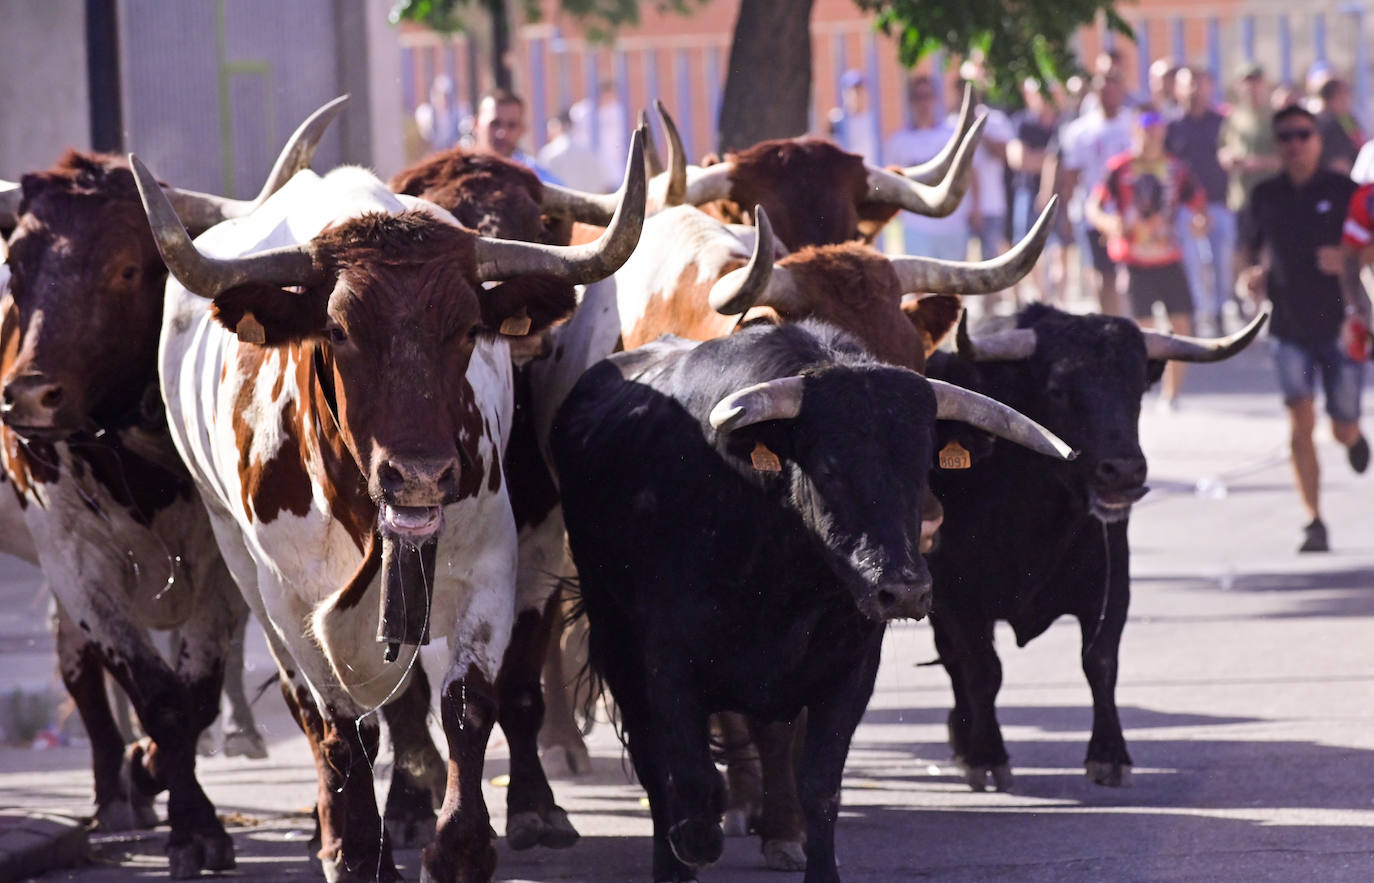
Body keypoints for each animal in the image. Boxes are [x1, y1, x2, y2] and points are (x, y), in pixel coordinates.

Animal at [0, 100, 348, 878]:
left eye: (128, 268)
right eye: (15, 266)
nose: (28, 396)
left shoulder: (218, 564)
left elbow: (193, 698)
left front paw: (178, 800)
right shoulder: (73, 556)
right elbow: (156, 696)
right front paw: (185, 815)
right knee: (79, 668)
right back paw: (117, 792)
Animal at [133, 131, 643, 883]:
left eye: (468, 328)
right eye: (339, 329)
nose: (421, 474)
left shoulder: (493, 562)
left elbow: (467, 702)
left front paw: (460, 846)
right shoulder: (292, 597)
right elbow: (345, 727)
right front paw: (356, 854)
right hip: (238, 561)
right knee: (316, 716)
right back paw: (329, 833)